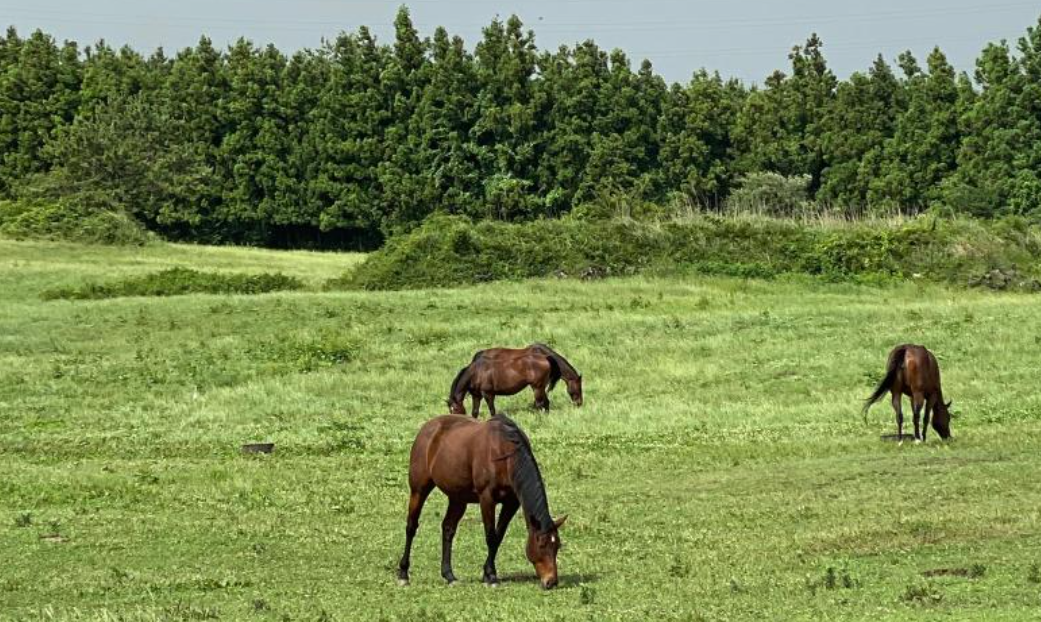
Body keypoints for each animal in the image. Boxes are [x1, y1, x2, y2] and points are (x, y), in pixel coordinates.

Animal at [395, 413, 570, 590]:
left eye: (557, 545)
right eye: (541, 545)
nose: (551, 581)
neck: (504, 452)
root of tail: (428, 427)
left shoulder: (511, 503)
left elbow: (498, 536)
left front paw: (487, 573)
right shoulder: (487, 498)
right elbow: (491, 536)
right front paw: (491, 577)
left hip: (458, 498)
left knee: (448, 528)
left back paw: (449, 575)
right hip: (419, 490)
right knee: (411, 526)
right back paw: (403, 574)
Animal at [443, 345, 582, 420]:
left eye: (454, 409)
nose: (579, 403)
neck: (477, 372)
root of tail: (545, 359)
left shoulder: (488, 394)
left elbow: (492, 411)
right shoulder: (476, 395)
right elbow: (474, 412)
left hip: (537, 387)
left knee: (540, 403)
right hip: (539, 387)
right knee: (544, 403)